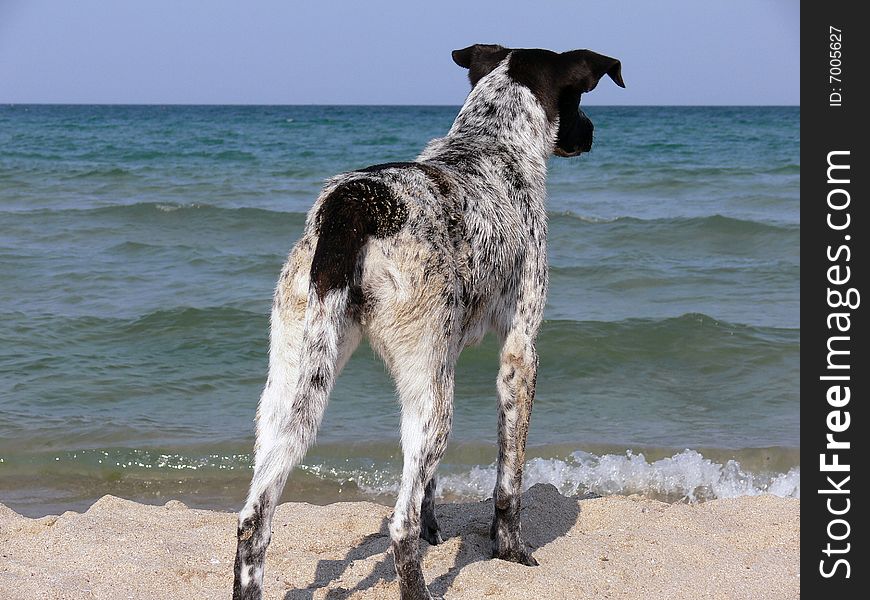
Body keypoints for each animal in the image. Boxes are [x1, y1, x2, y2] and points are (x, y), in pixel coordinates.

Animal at [233, 44, 628, 596]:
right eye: (578, 102)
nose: (590, 132)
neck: (489, 143)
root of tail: (353, 203)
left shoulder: (446, 357)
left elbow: (429, 490)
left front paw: (437, 529)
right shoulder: (519, 353)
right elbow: (508, 481)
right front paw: (509, 550)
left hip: (291, 386)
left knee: (254, 518)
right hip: (432, 403)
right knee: (398, 525)